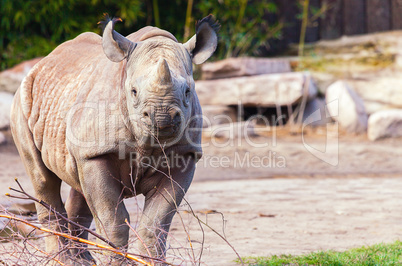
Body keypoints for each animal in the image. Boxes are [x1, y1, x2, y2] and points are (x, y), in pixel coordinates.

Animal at [10, 15, 217, 264]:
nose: (162, 118)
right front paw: (116, 262)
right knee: (42, 179)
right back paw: (61, 259)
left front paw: (150, 262)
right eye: (134, 91)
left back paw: (83, 259)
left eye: (188, 91)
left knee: (78, 184)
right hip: (23, 100)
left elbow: (155, 223)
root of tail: (42, 63)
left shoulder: (185, 154)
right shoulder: (97, 154)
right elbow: (113, 220)